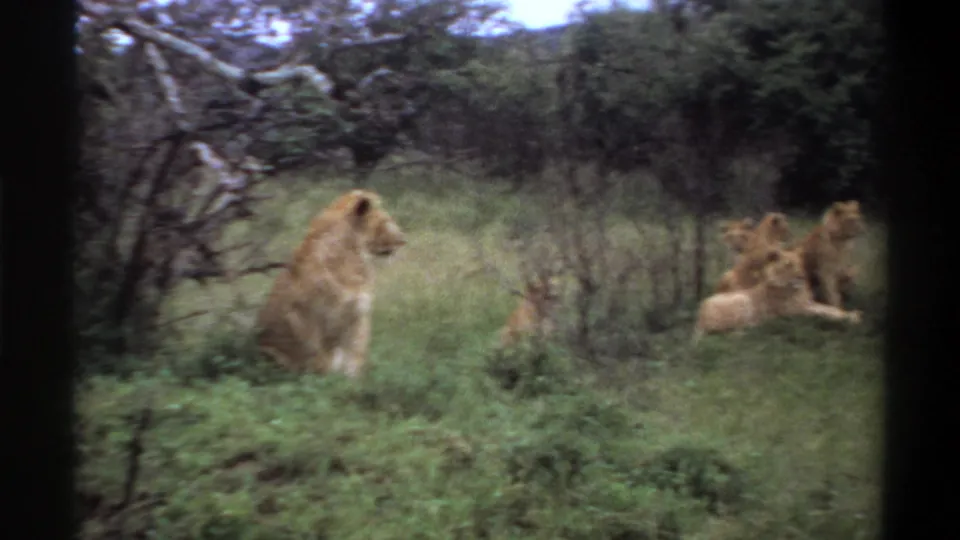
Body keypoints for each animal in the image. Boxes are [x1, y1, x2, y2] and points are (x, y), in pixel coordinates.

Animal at [255, 189, 406, 377]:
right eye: (385, 221)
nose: (403, 240)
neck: (354, 259)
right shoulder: (306, 315)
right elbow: (320, 358)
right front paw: (326, 380)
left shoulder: (358, 316)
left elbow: (354, 357)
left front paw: (352, 381)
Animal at [693, 247, 862, 343]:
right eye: (788, 265)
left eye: (800, 263)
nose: (801, 276)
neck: (797, 289)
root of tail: (699, 317)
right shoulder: (796, 311)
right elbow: (823, 314)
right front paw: (850, 318)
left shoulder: (808, 303)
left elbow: (830, 309)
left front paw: (853, 315)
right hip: (742, 299)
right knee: (730, 332)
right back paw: (761, 326)